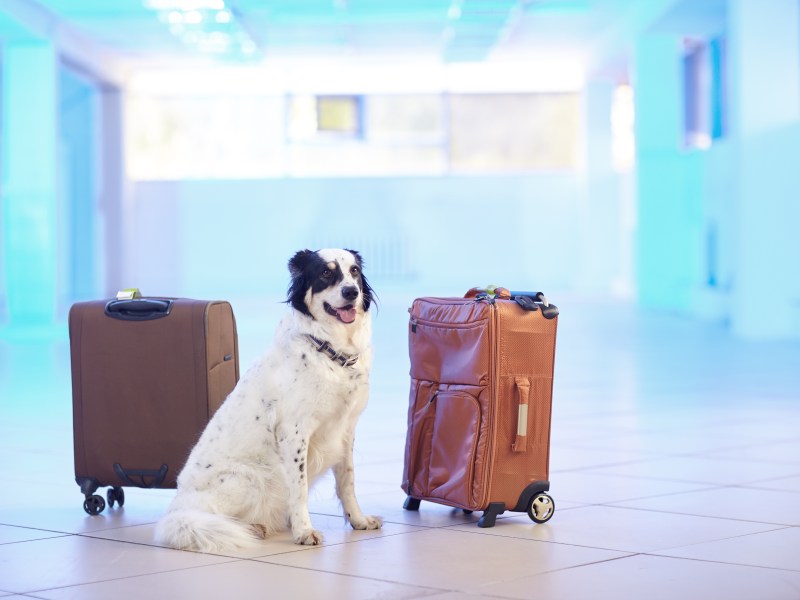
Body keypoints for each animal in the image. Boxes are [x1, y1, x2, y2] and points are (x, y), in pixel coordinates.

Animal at [157, 250, 384, 552]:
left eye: (355, 271)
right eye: (326, 273)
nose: (351, 292)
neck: (328, 351)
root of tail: (176, 509)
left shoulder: (345, 430)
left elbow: (347, 481)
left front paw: (358, 520)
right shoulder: (295, 433)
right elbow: (299, 490)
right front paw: (304, 531)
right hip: (248, 479)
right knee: (213, 517)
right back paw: (252, 528)